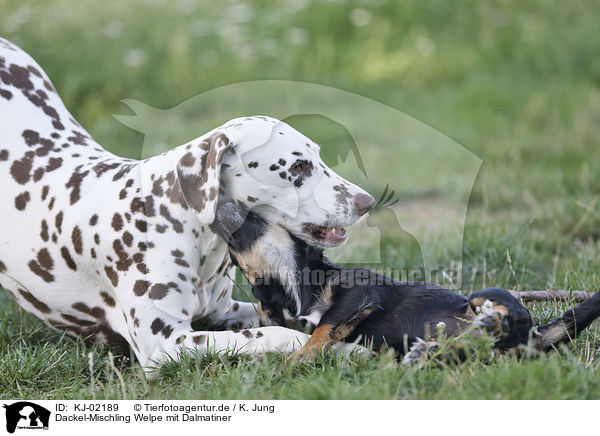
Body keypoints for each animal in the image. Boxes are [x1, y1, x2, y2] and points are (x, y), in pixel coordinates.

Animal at [0, 38, 376, 372]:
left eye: (318, 156)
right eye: (297, 166)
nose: (367, 202)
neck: (177, 220)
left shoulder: (225, 312)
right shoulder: (166, 343)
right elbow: (280, 334)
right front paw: (344, 349)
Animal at [211, 203, 600, 362]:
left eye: (255, 217)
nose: (218, 205)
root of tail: (535, 338)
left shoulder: (362, 292)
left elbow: (323, 327)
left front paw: (296, 359)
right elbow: (308, 329)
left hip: (485, 295)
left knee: (508, 312)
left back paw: (489, 319)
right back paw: (425, 352)